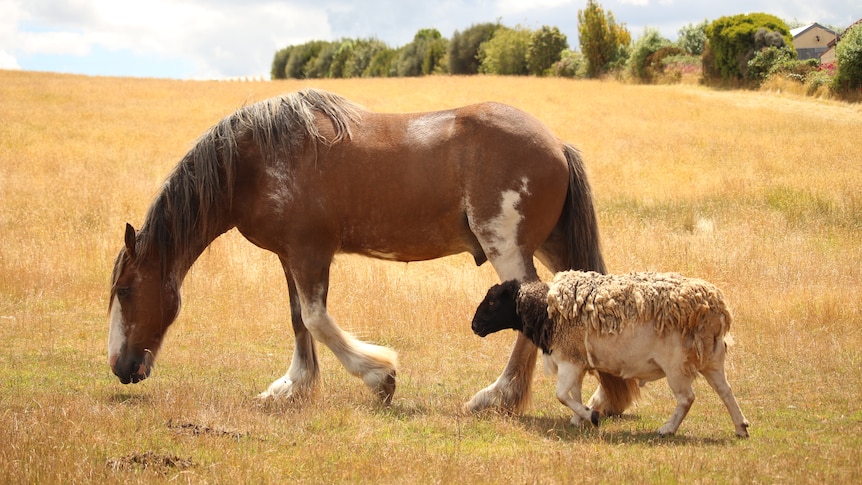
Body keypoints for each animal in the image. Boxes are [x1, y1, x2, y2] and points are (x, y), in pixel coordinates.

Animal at [106, 89, 636, 414]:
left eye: (127, 290)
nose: (121, 367)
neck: (255, 160)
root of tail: (556, 144)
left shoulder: (310, 252)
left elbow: (317, 319)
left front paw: (379, 378)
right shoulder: (289, 255)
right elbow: (298, 319)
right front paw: (293, 387)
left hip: (508, 249)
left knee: (530, 308)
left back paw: (495, 397)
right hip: (551, 245)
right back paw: (600, 399)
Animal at [472, 270, 748, 436]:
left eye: (493, 301)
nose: (474, 326)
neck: (545, 308)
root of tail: (715, 308)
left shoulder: (569, 359)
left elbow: (561, 395)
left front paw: (590, 415)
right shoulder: (577, 360)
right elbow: (574, 392)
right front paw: (578, 419)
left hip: (676, 364)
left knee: (686, 398)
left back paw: (667, 429)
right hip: (712, 358)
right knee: (725, 391)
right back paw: (741, 427)